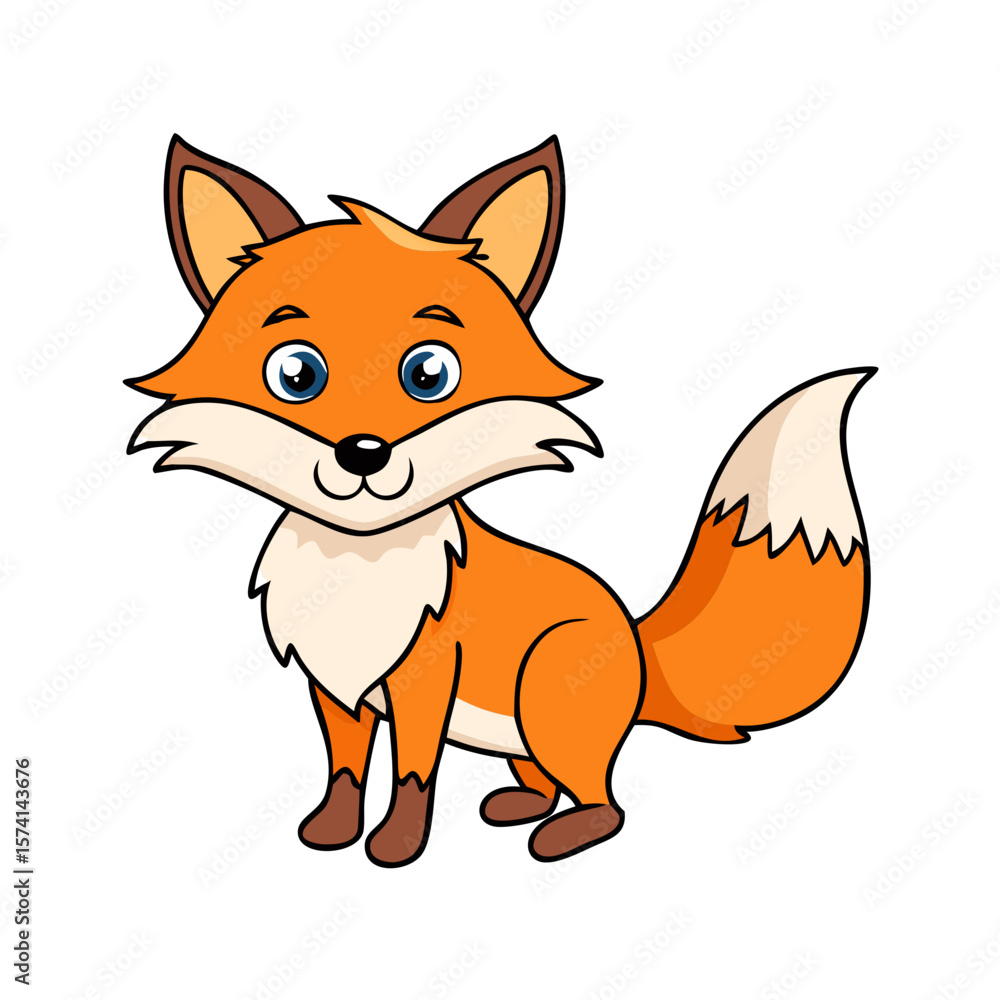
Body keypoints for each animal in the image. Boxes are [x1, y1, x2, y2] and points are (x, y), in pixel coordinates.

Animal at [128, 134, 873, 867]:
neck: (361, 564)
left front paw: (397, 846)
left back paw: (565, 835)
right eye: (296, 373)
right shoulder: (337, 683)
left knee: (606, 801)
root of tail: (635, 641)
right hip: (515, 734)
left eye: (429, 373)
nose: (363, 453)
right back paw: (520, 807)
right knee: (545, 783)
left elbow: (411, 772)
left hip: (548, 696)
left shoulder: (424, 677)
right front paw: (333, 831)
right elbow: (345, 769)